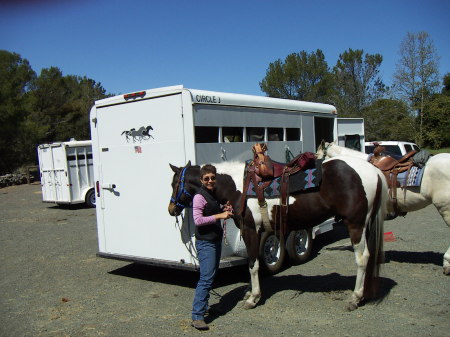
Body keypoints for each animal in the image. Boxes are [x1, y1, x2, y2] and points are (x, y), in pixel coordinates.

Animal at [168, 155, 386, 310]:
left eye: (174, 183)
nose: (171, 209)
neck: (238, 186)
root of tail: (374, 171)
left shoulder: (250, 229)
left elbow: (252, 264)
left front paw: (253, 298)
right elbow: (253, 260)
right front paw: (250, 292)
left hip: (356, 224)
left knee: (362, 258)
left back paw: (354, 298)